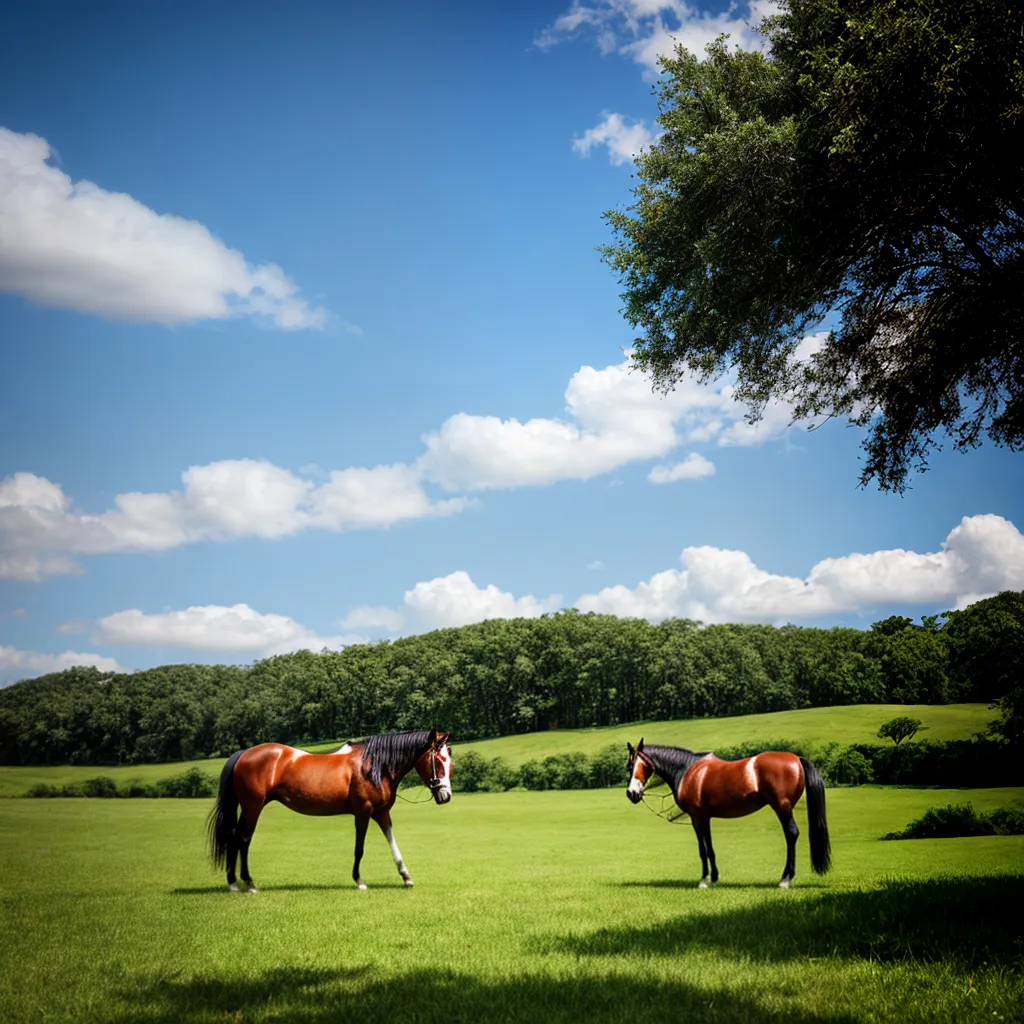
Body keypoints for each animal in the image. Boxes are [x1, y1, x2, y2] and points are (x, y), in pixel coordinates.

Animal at [207, 728, 452, 892]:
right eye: (439, 760)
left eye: (450, 762)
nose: (446, 796)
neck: (374, 766)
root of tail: (243, 753)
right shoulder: (363, 812)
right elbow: (359, 848)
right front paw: (359, 881)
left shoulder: (382, 813)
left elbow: (393, 844)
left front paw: (406, 877)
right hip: (253, 806)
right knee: (243, 838)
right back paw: (248, 883)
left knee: (233, 837)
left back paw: (233, 883)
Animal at [625, 738, 831, 888]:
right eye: (629, 766)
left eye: (644, 766)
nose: (632, 793)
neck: (688, 770)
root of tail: (796, 759)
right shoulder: (705, 817)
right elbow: (709, 846)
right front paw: (714, 876)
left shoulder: (696, 817)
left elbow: (702, 849)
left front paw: (704, 880)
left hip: (783, 808)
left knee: (791, 834)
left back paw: (785, 879)